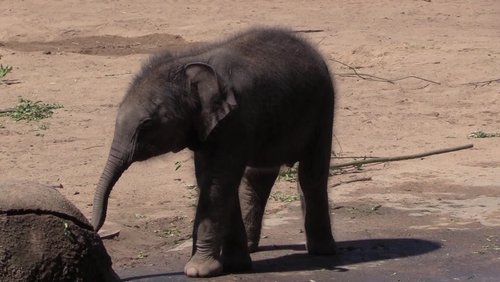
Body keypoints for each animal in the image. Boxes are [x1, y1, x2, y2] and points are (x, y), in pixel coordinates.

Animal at [94, 27, 336, 278]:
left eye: (147, 124)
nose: (96, 230)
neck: (190, 62)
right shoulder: (208, 127)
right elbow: (212, 182)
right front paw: (235, 265)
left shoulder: (233, 121)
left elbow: (217, 183)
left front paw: (198, 271)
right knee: (257, 177)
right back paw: (253, 246)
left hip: (324, 106)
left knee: (311, 175)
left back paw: (321, 251)